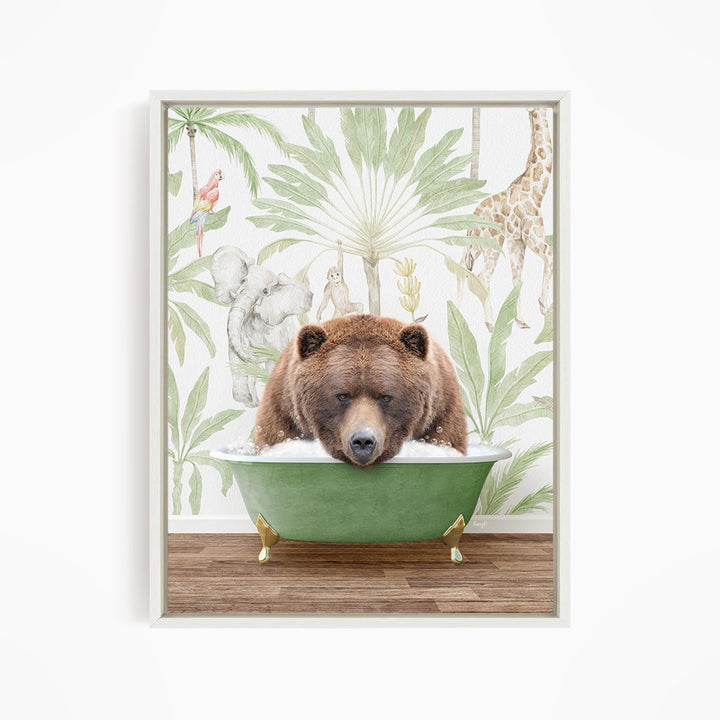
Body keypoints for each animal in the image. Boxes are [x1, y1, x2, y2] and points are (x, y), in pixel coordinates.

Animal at [461, 108, 553, 332]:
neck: (538, 191)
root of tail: (471, 227)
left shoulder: (516, 242)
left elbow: (517, 279)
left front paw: (521, 321)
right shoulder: (533, 236)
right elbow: (550, 258)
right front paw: (543, 306)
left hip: (475, 248)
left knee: (463, 272)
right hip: (492, 246)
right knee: (484, 276)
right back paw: (490, 323)